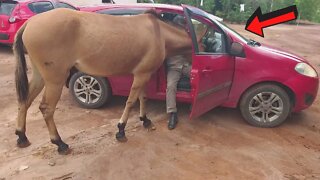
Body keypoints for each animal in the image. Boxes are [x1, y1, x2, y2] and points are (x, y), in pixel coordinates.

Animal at [13, 8, 205, 154]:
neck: (159, 33)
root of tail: (30, 22)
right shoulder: (141, 75)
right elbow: (130, 101)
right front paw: (121, 130)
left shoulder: (143, 73)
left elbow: (142, 98)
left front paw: (145, 120)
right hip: (55, 79)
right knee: (46, 109)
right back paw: (60, 143)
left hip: (40, 76)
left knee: (24, 101)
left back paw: (22, 136)